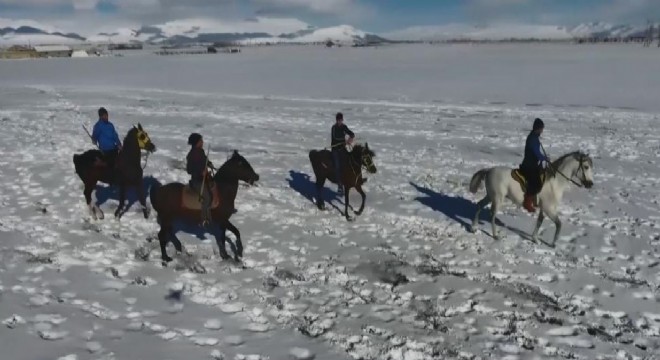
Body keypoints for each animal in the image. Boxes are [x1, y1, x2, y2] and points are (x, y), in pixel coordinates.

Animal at [466, 150, 596, 246]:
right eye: (586, 167)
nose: (590, 184)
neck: (555, 183)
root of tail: (488, 171)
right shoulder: (549, 209)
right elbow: (559, 224)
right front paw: (553, 244)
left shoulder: (544, 209)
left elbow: (539, 222)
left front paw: (535, 239)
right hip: (498, 199)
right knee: (492, 215)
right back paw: (495, 235)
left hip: (490, 196)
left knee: (479, 205)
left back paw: (473, 228)